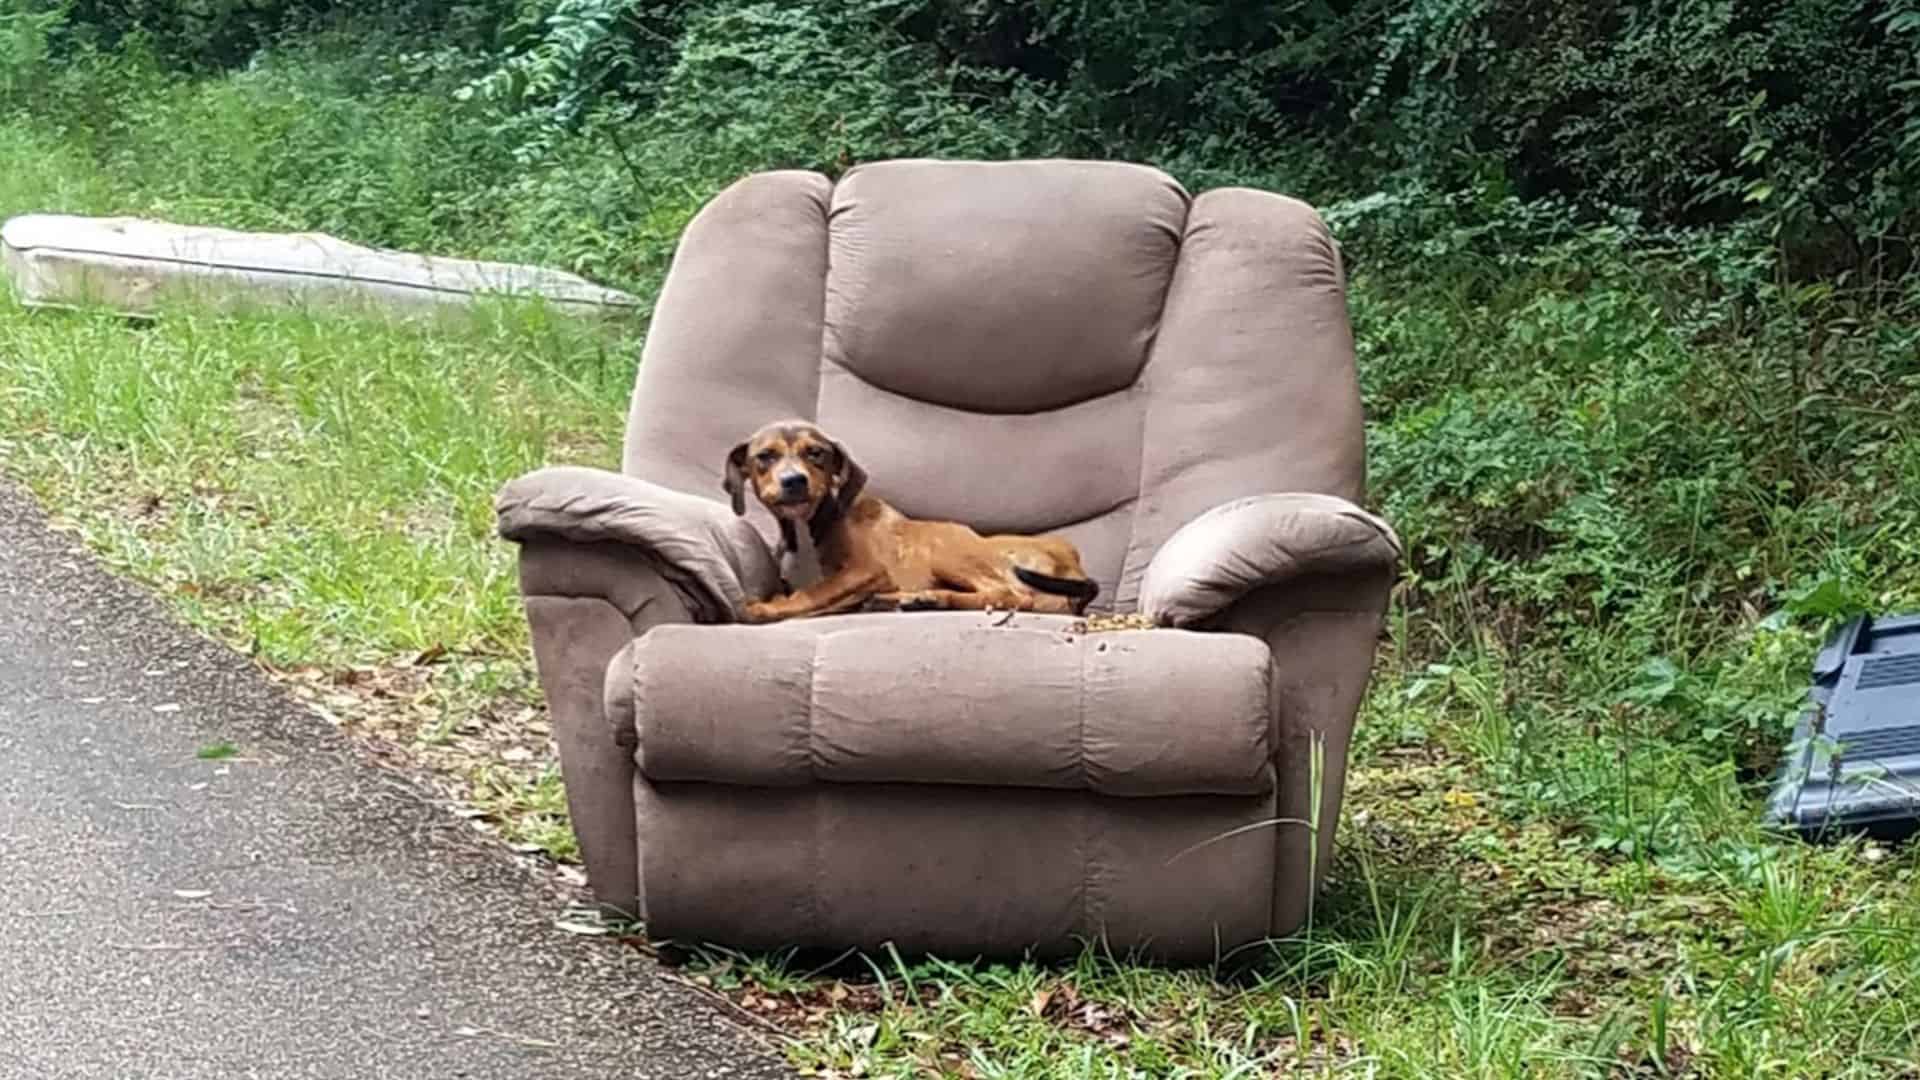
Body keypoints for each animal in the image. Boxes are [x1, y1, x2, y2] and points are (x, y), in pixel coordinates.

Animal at [725, 420, 1105, 622]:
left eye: (816, 453)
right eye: (765, 457)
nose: (794, 481)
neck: (810, 526)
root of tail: (1073, 565)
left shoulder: (866, 571)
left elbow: (815, 592)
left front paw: (764, 608)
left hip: (943, 548)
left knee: (1008, 594)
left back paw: (929, 599)